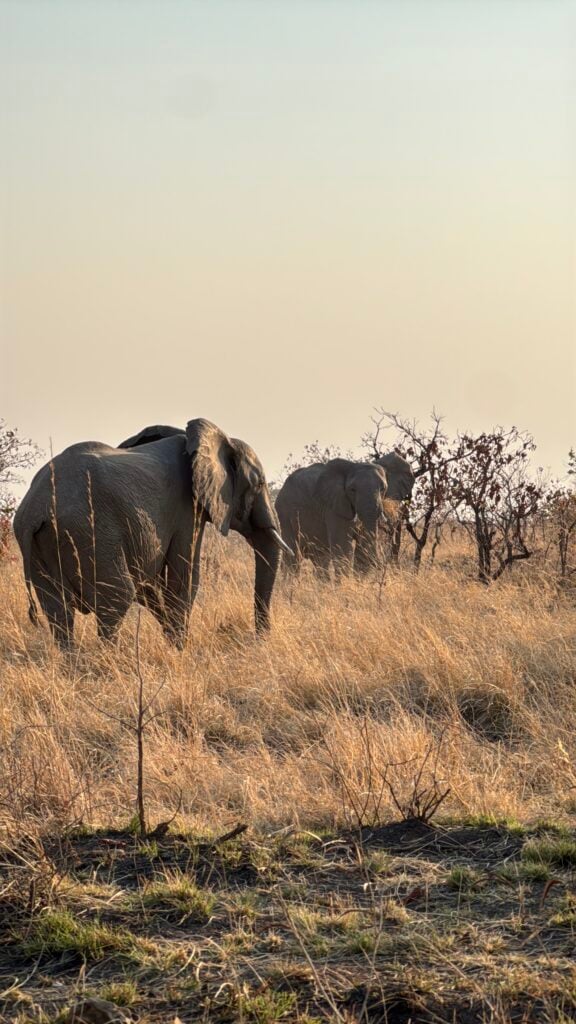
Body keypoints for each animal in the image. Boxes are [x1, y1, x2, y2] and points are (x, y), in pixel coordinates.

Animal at [13, 419, 291, 650]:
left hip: (42, 546)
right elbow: (184, 578)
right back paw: (110, 663)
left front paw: (172, 640)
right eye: (259, 484)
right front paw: (180, 650)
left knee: (57, 609)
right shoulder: (186, 508)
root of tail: (34, 509)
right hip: (90, 533)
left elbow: (149, 584)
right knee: (116, 596)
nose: (260, 639)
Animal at [275, 452, 414, 577]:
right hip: (284, 513)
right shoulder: (334, 506)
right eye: (352, 490)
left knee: (320, 559)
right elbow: (343, 547)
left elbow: (361, 547)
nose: (381, 566)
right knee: (293, 556)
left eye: (383, 489)